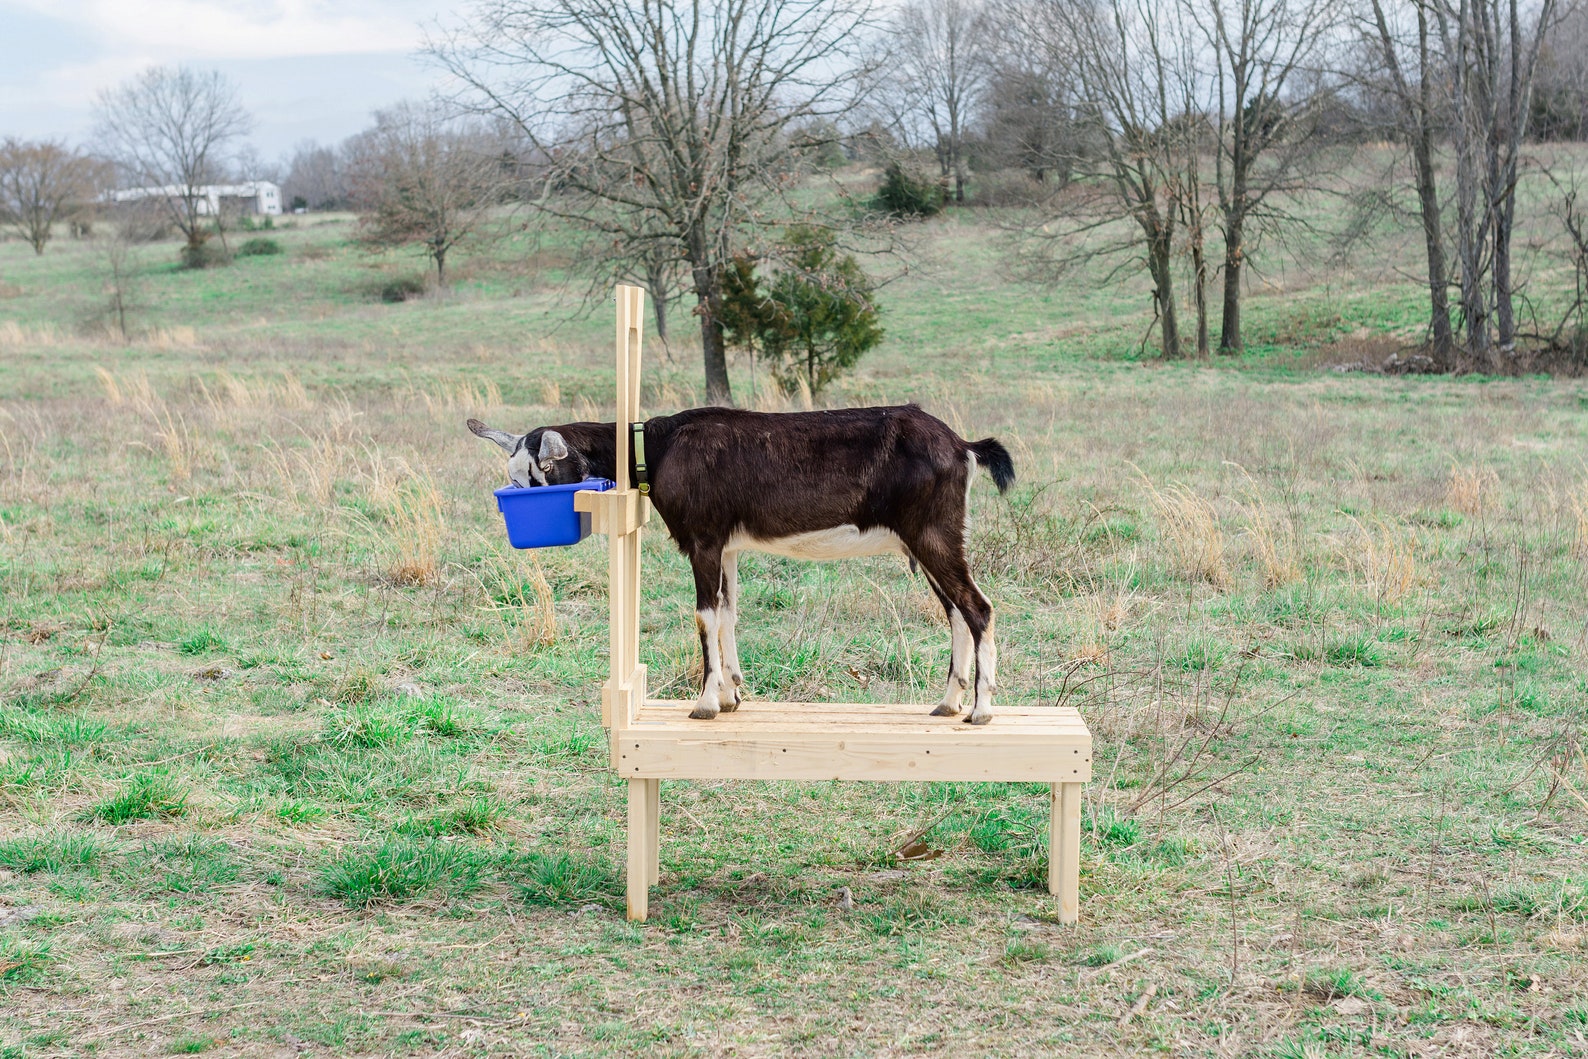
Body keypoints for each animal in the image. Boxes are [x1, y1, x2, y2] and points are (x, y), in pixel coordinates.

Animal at [468, 406, 1015, 723]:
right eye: (514, 478)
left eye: (542, 471)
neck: (658, 447)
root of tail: (962, 445)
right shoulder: (728, 547)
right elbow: (728, 614)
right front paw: (733, 694)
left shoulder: (704, 540)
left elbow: (704, 616)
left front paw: (706, 703)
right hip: (927, 539)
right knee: (955, 611)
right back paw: (948, 703)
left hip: (933, 533)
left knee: (978, 608)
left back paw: (981, 710)